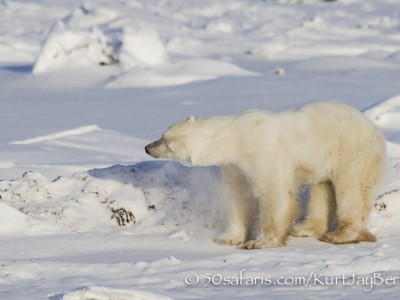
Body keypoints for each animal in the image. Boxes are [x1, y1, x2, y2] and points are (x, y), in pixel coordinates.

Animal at [145, 102, 384, 250]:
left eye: (167, 144)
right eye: (163, 134)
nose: (147, 148)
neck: (236, 137)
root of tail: (373, 127)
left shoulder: (263, 154)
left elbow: (274, 196)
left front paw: (259, 242)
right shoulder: (234, 167)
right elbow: (237, 199)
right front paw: (227, 238)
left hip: (352, 150)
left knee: (351, 189)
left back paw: (340, 235)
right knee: (321, 188)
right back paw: (304, 228)